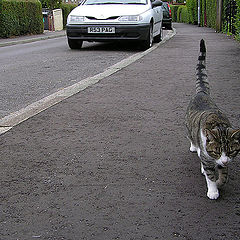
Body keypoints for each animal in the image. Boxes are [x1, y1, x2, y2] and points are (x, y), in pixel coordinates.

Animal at [185, 39, 239, 200]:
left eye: (231, 152)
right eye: (217, 151)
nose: (225, 160)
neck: (218, 124)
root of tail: (202, 92)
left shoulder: (224, 161)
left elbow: (224, 174)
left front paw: (221, 181)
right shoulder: (208, 154)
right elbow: (210, 175)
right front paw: (213, 190)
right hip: (189, 127)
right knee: (193, 140)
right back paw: (194, 148)